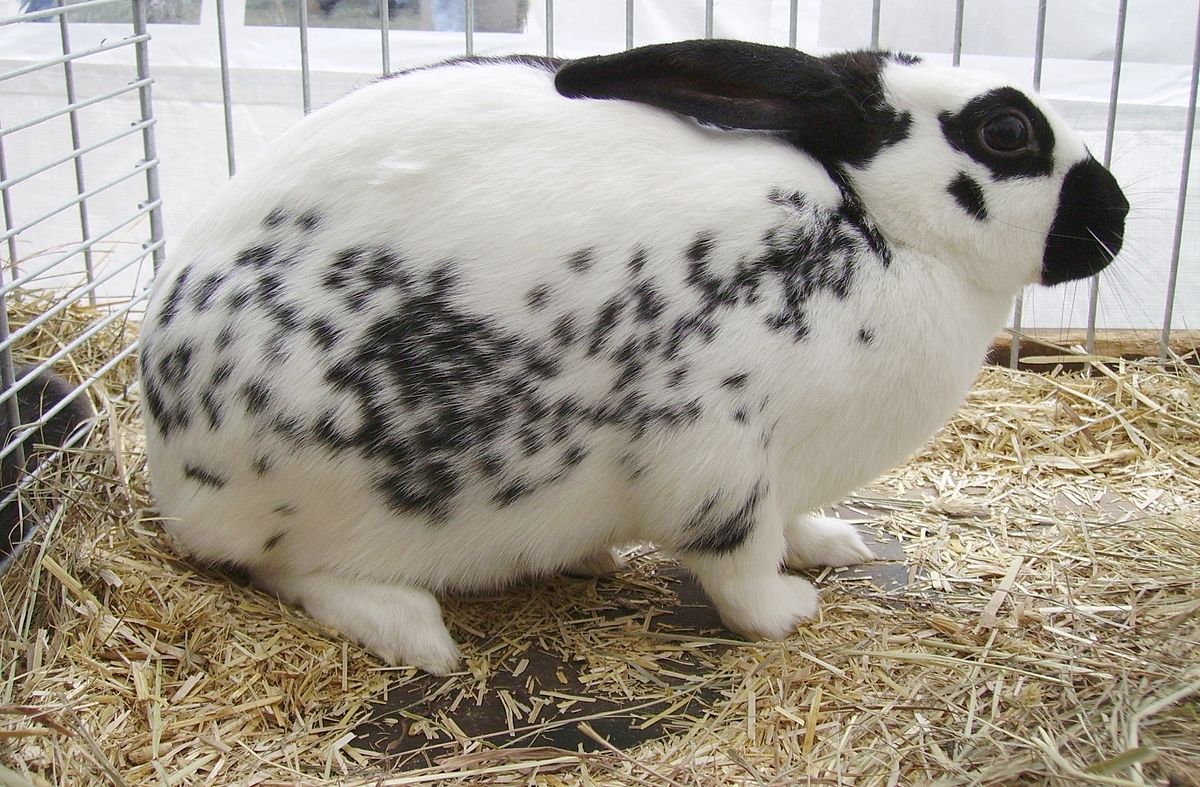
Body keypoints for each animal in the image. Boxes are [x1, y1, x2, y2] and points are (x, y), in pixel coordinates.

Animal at [139, 40, 1128, 675]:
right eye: (1006, 132)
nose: (1115, 221)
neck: (879, 225)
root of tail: (168, 471)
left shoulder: (784, 473)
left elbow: (793, 524)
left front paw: (833, 545)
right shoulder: (719, 454)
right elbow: (738, 563)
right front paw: (789, 610)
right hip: (320, 483)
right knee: (290, 567)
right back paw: (415, 629)